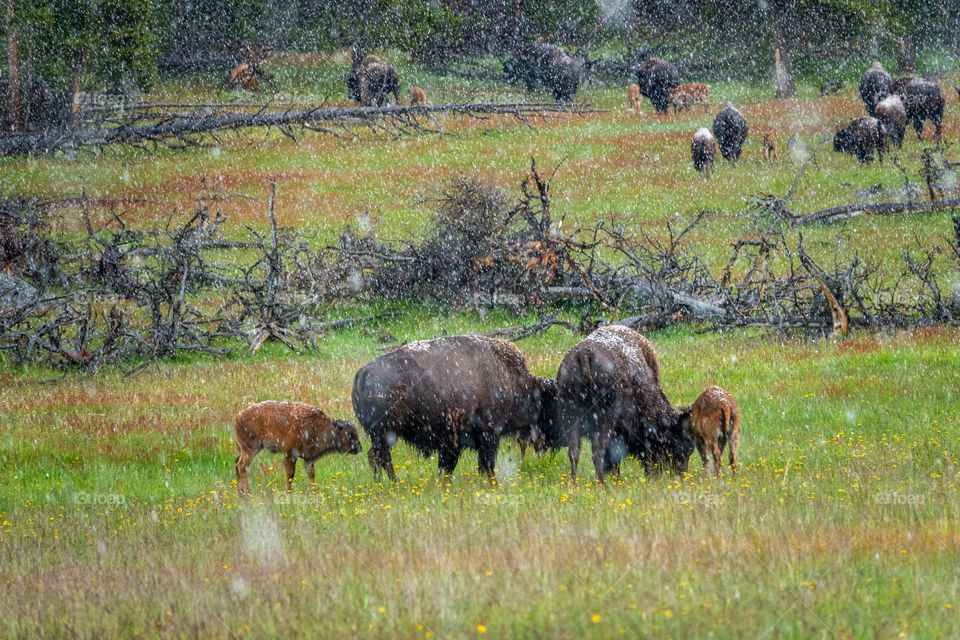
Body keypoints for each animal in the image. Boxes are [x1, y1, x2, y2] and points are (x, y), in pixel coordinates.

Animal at [234, 400, 362, 496]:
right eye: (350, 434)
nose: (359, 448)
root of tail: (238, 417)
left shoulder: (309, 458)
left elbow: (311, 475)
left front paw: (313, 492)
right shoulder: (290, 455)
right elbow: (290, 476)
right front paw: (289, 493)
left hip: (249, 449)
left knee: (236, 461)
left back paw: (241, 493)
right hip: (251, 449)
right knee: (242, 465)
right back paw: (248, 493)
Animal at [350, 336, 556, 480]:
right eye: (553, 403)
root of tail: (363, 373)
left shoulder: (454, 441)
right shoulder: (487, 434)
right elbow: (485, 464)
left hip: (380, 435)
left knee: (377, 457)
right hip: (384, 433)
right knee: (380, 458)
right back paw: (394, 482)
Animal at [556, 328, 688, 482]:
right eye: (677, 444)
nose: (680, 474)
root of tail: (584, 354)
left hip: (569, 416)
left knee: (574, 452)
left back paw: (574, 483)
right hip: (604, 421)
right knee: (598, 452)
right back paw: (602, 484)